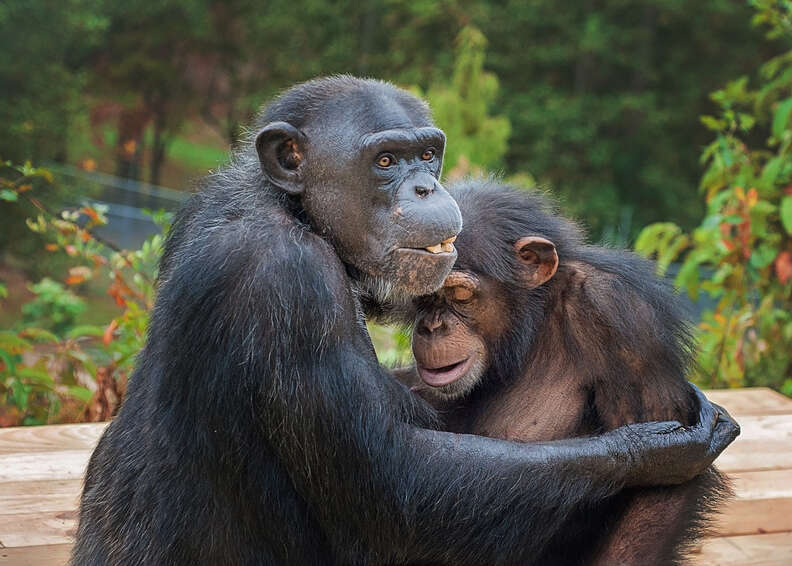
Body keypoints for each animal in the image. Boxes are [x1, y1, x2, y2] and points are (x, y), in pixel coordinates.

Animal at [400, 179, 732, 566]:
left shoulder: (623, 318)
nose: (432, 327)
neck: (529, 326)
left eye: (458, 294)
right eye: (423, 294)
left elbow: (659, 491)